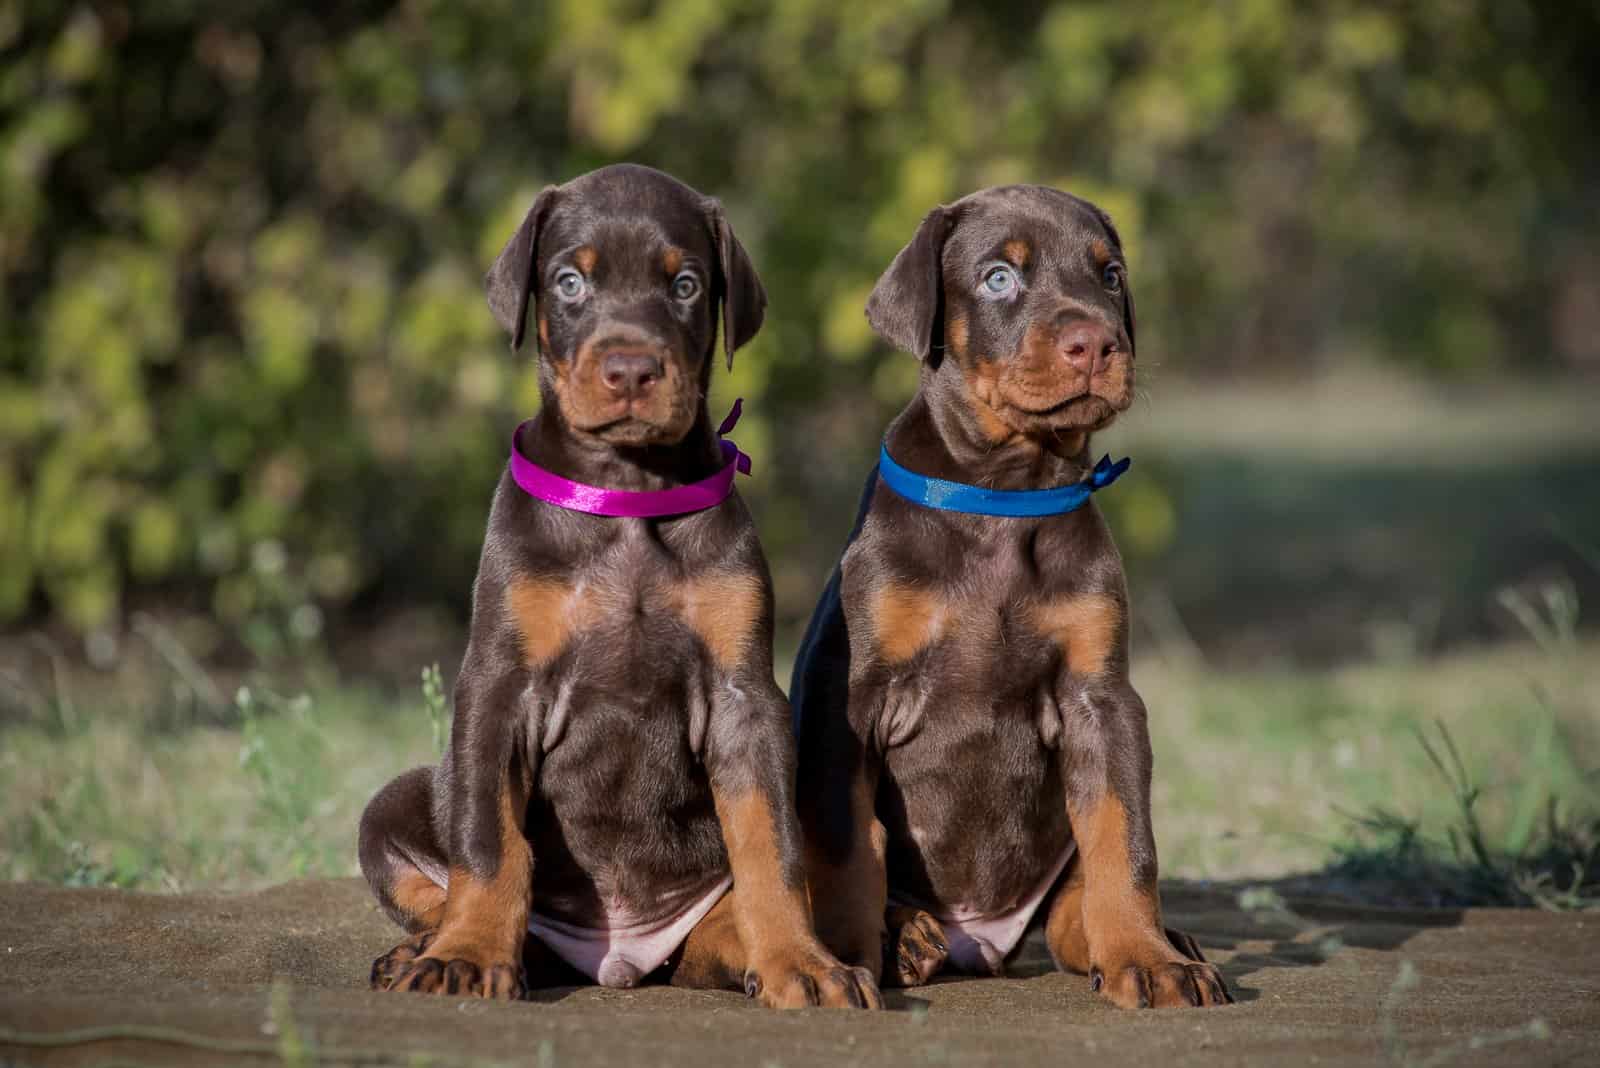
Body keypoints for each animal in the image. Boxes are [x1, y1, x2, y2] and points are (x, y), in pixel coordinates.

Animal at [358, 164, 883, 1010]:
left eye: (687, 284)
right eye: (570, 281)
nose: (631, 370)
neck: (628, 493)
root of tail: (621, 960)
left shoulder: (745, 702)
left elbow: (771, 849)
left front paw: (801, 963)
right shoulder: (498, 687)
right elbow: (487, 843)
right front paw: (466, 953)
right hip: (395, 804)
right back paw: (425, 949)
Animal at [793, 185, 1228, 1010]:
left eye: (1111, 275)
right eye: (1000, 277)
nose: (1096, 345)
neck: (1007, 494)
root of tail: (982, 940)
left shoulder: (1102, 698)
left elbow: (1126, 840)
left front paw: (1147, 958)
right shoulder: (849, 701)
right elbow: (848, 851)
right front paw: (847, 960)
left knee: (1072, 906)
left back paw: (1148, 940)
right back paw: (908, 938)